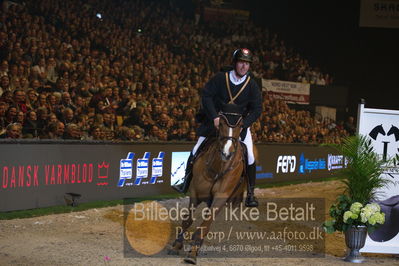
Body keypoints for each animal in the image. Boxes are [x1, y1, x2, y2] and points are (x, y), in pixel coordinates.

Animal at [167, 108, 248, 264]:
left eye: (241, 126)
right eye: (220, 123)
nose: (227, 153)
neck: (218, 168)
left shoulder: (220, 199)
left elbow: (205, 225)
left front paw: (192, 253)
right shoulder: (195, 193)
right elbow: (187, 220)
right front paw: (177, 245)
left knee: (207, 221)